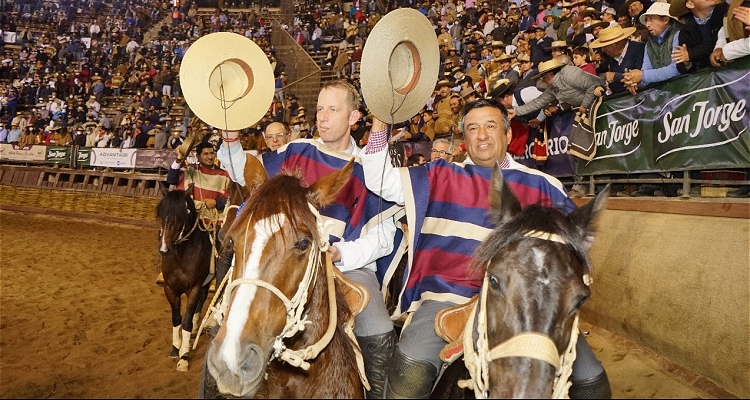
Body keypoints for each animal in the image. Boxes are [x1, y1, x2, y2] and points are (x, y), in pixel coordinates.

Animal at [156, 189, 213, 374]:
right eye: (161, 215)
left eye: (180, 217)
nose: (164, 249)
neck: (181, 256)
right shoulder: (170, 289)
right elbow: (176, 318)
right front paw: (176, 348)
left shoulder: (194, 288)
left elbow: (186, 321)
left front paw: (184, 357)